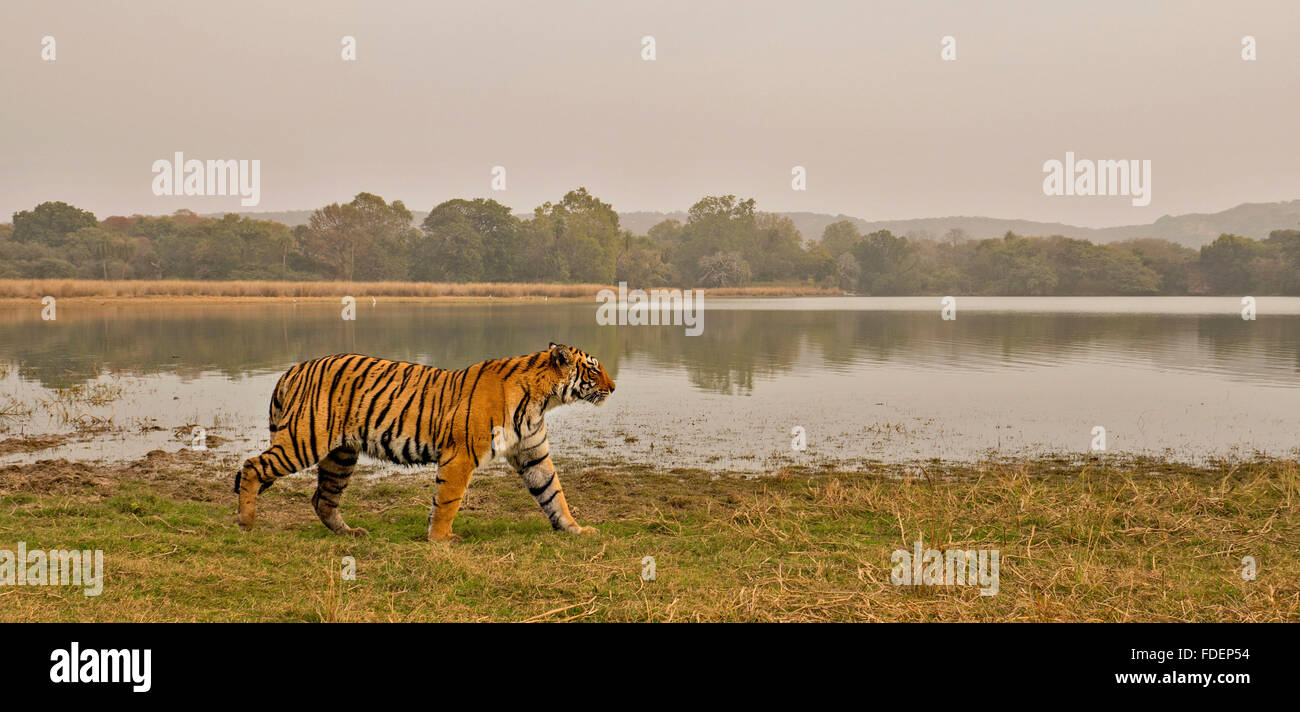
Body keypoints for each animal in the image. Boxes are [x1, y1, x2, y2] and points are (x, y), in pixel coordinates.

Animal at [232, 343, 613, 540]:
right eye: (594, 369)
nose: (613, 387)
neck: (542, 401)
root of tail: (292, 368)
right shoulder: (461, 455)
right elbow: (448, 501)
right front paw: (441, 539)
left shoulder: (532, 454)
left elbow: (553, 494)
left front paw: (576, 529)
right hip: (304, 442)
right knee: (252, 467)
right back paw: (247, 522)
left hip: (340, 455)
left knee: (322, 498)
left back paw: (349, 533)